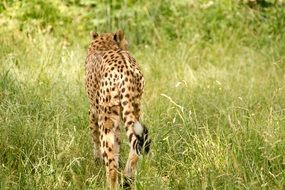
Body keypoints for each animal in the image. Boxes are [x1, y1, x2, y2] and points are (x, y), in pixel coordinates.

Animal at [84, 29, 151, 189]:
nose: (127, 46)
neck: (105, 42)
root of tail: (127, 70)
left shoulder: (93, 112)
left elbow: (95, 138)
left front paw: (96, 161)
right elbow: (118, 144)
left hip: (106, 119)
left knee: (111, 167)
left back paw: (112, 183)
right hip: (134, 110)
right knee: (135, 148)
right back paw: (128, 178)